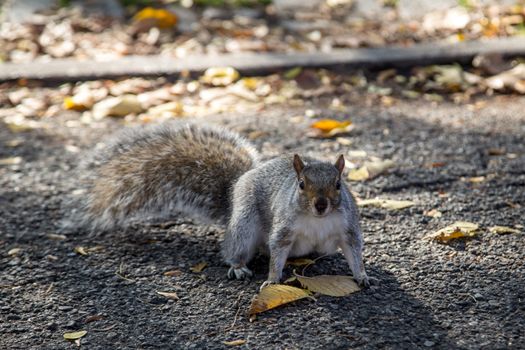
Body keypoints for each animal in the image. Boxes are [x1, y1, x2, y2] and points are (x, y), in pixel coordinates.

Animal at [66, 122, 368, 288]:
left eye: (339, 184)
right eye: (301, 184)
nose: (321, 205)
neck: (317, 220)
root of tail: (235, 189)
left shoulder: (348, 228)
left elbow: (354, 251)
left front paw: (362, 275)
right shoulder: (283, 228)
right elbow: (277, 251)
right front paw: (272, 279)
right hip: (244, 224)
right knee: (237, 248)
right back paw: (238, 266)